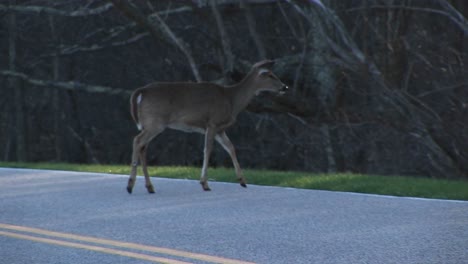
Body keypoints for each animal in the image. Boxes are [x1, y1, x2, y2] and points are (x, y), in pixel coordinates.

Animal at [128, 59, 288, 193]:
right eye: (270, 75)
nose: (284, 87)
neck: (232, 100)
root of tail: (141, 92)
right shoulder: (212, 123)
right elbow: (208, 150)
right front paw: (204, 183)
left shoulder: (220, 129)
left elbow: (231, 147)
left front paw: (242, 180)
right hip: (155, 122)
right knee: (137, 140)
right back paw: (130, 185)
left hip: (150, 124)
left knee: (143, 147)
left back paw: (149, 187)